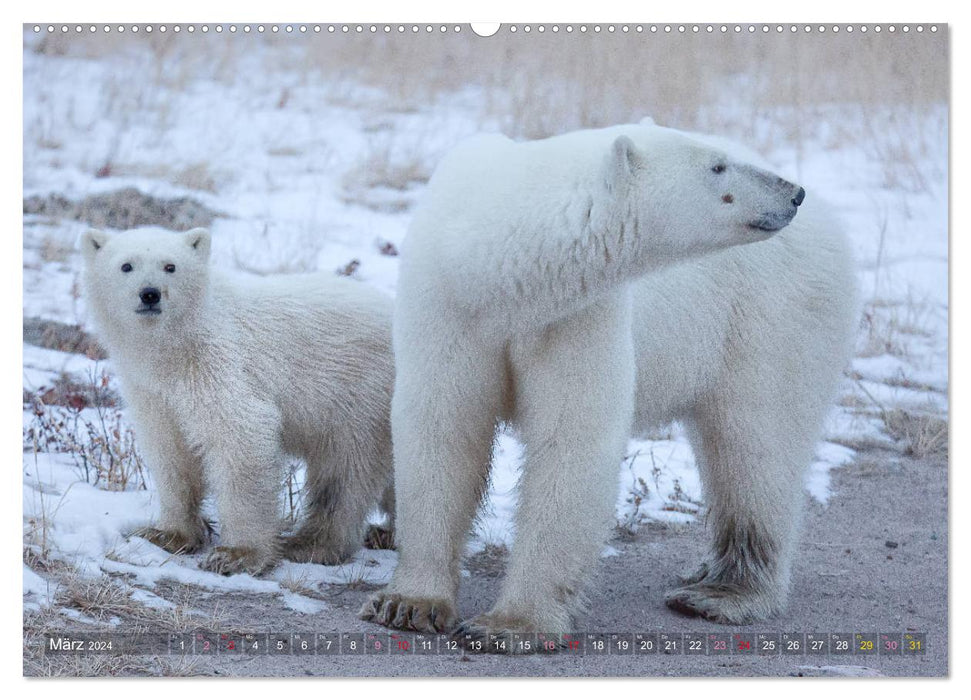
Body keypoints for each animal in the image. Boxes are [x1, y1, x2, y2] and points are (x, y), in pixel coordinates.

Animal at [82, 230, 394, 576]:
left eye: (170, 266)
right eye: (126, 265)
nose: (150, 294)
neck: (178, 343)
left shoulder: (220, 364)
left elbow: (241, 438)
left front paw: (237, 554)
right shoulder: (153, 392)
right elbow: (171, 452)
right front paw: (167, 534)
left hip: (360, 395)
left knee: (344, 470)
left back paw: (312, 544)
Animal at [362, 123, 860, 636]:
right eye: (717, 165)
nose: (792, 193)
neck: (497, 271)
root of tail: (831, 217)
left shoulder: (576, 317)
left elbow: (571, 442)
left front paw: (510, 623)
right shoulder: (449, 306)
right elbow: (442, 428)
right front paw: (409, 604)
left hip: (770, 321)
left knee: (756, 446)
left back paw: (722, 592)